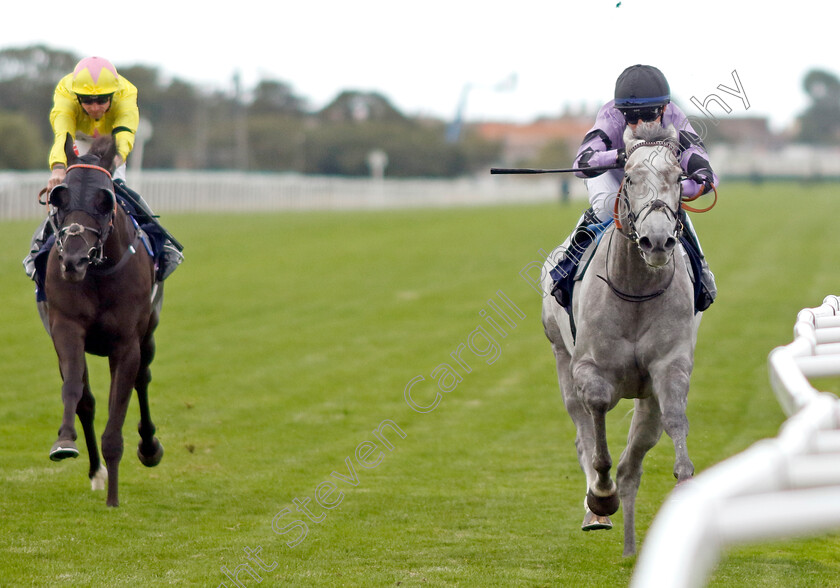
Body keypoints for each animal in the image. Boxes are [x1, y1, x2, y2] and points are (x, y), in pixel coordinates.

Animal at [43, 133, 165, 506]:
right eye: (59, 197)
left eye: (105, 200)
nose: (74, 260)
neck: (97, 274)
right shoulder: (65, 327)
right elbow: (75, 390)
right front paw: (64, 442)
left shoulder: (126, 344)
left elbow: (119, 408)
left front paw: (113, 499)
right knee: (87, 400)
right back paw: (97, 472)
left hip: (149, 333)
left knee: (143, 379)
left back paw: (149, 447)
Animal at [540, 123, 700, 556]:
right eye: (629, 177)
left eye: (678, 177)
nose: (657, 241)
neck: (636, 290)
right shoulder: (589, 367)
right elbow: (597, 421)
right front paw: (601, 496)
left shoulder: (669, 365)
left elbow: (675, 418)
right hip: (560, 358)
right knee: (582, 432)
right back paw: (598, 509)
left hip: (645, 398)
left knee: (637, 454)